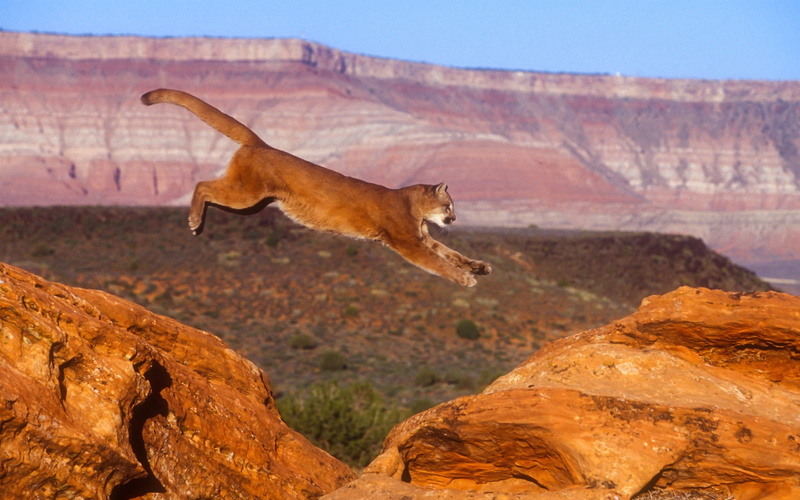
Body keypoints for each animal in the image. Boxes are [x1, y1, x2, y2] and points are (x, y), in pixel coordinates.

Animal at [141, 89, 491, 286]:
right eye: (449, 206)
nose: (454, 219)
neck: (414, 209)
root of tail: (262, 144)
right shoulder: (408, 242)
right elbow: (438, 263)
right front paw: (465, 279)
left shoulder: (423, 238)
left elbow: (451, 253)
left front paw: (477, 266)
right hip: (246, 195)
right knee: (202, 184)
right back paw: (194, 222)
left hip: (252, 204)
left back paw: (199, 222)